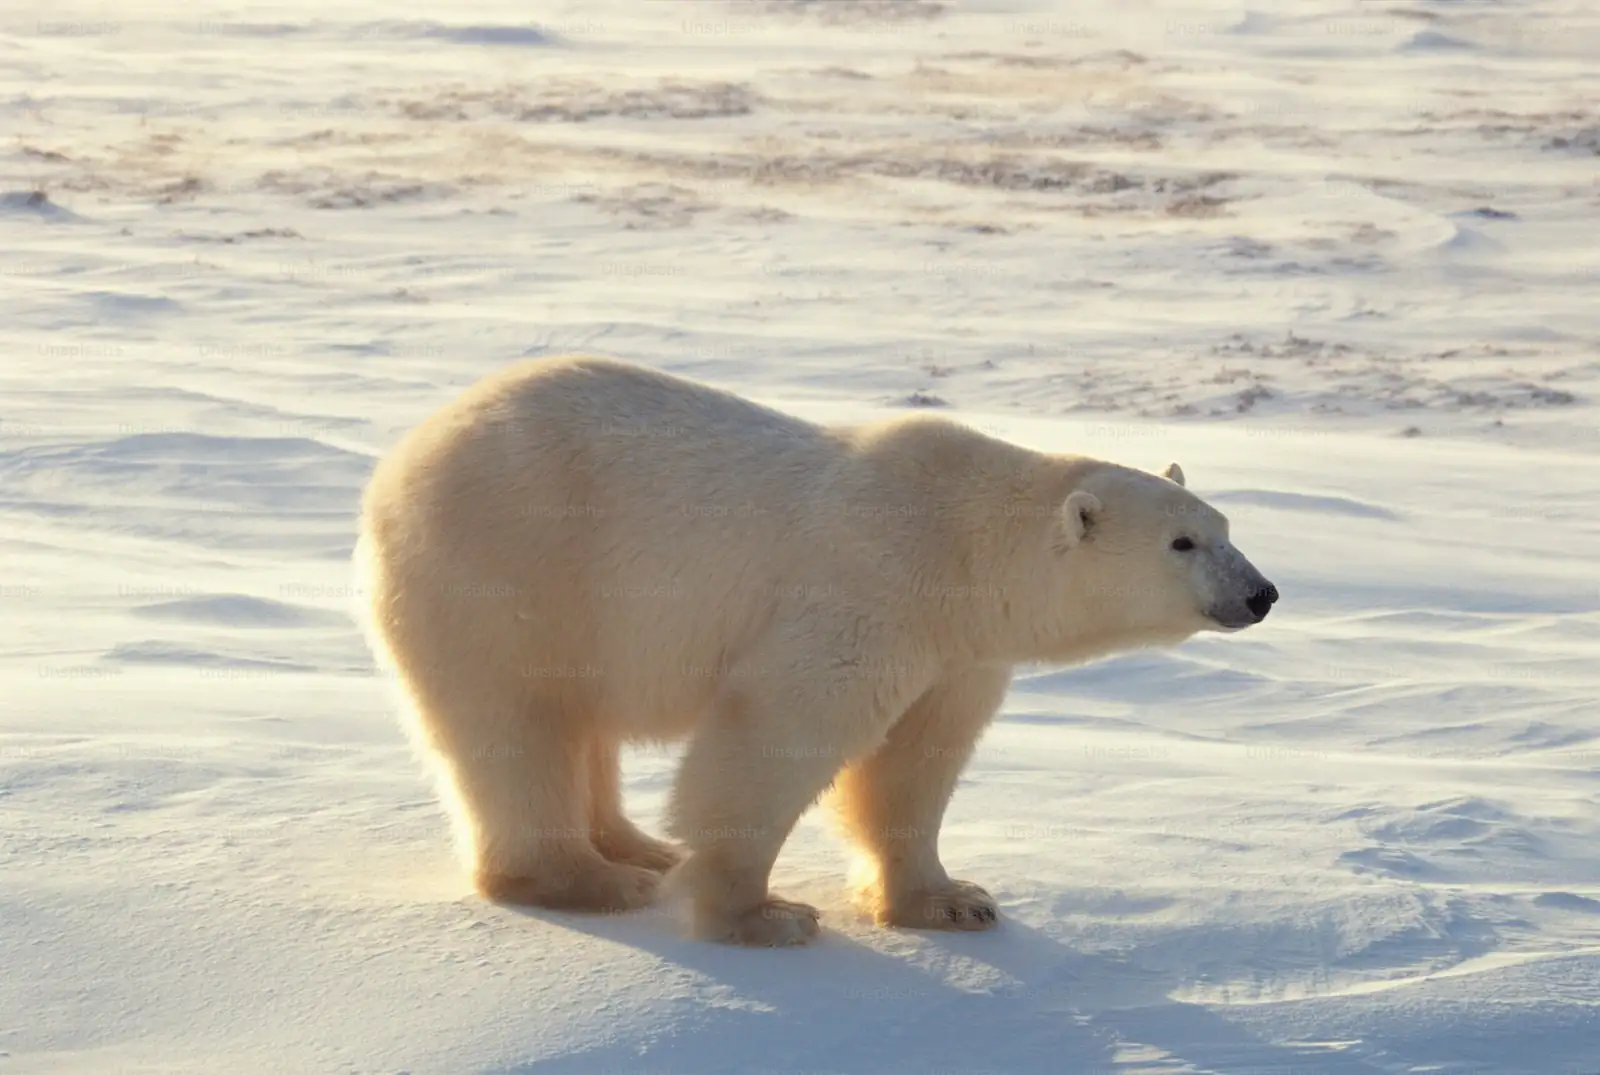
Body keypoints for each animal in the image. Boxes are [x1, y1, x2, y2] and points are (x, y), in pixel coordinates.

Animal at [356, 355, 1278, 946]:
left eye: (1226, 527)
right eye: (1183, 542)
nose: (1262, 591)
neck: (961, 544)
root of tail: (400, 460)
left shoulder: (956, 650)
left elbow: (916, 761)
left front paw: (954, 900)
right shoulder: (867, 593)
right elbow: (776, 737)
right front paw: (764, 915)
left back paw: (636, 847)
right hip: (510, 569)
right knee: (517, 722)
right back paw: (592, 878)